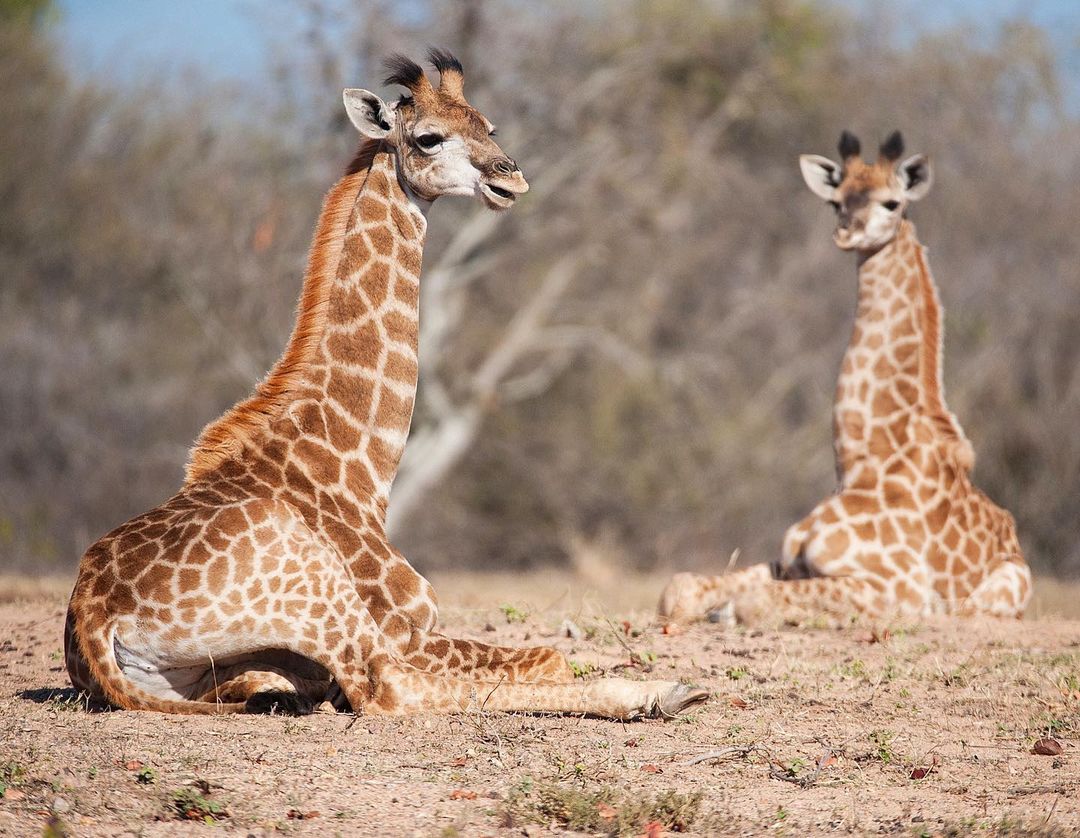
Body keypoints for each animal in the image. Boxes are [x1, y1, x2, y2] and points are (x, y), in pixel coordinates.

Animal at [65, 52, 708, 721]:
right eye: (427, 138)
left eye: (489, 125)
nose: (511, 178)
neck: (359, 467)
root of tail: (94, 618)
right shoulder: (405, 625)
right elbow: (543, 657)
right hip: (321, 595)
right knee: (388, 688)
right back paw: (663, 692)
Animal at [652, 127, 1032, 626]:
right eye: (835, 202)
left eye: (892, 202)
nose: (847, 232)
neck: (861, 462)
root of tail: (1016, 539)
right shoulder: (788, 562)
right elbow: (678, 588)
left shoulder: (897, 587)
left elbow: (754, 603)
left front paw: (728, 612)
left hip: (1003, 588)